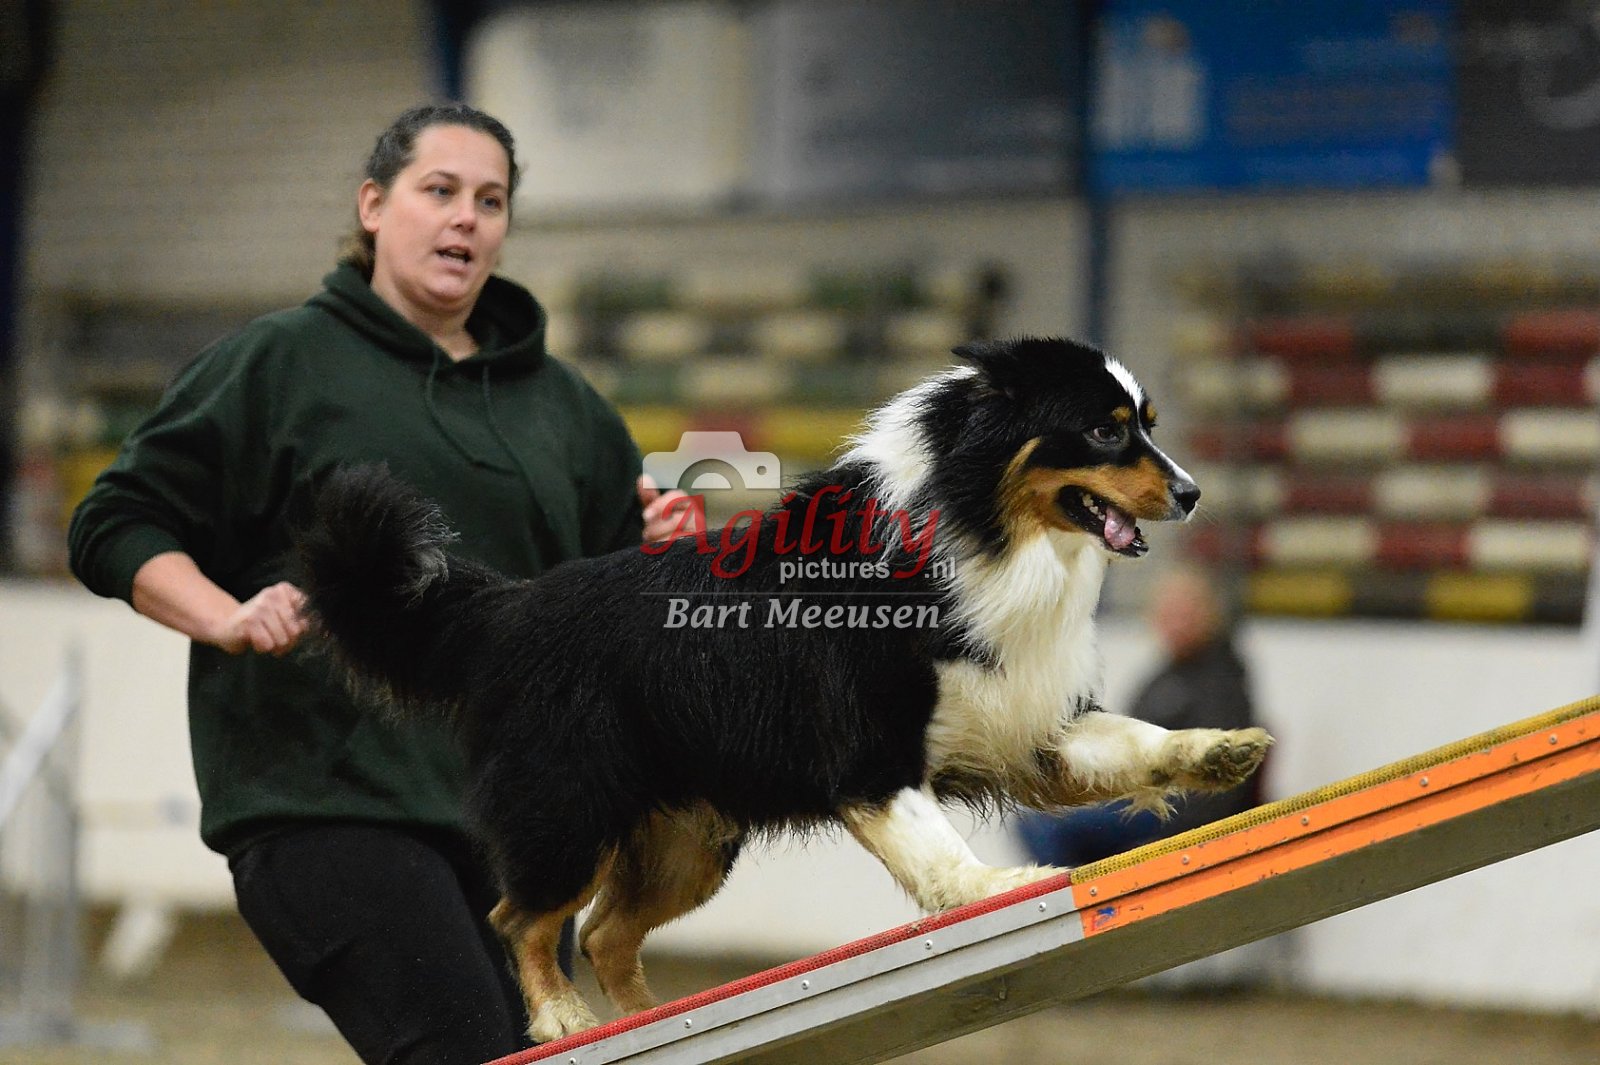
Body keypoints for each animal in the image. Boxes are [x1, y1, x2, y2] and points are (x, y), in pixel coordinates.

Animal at [295, 336, 1272, 1042]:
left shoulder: (1025, 724)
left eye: (1146, 422)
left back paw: (646, 1020)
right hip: (570, 805)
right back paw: (565, 1018)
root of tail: (508, 608)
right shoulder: (870, 751)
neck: (979, 528)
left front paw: (1221, 750)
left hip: (687, 842)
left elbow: (1132, 741)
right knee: (523, 917)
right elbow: (935, 845)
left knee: (606, 931)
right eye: (1107, 431)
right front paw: (999, 886)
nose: (1193, 492)